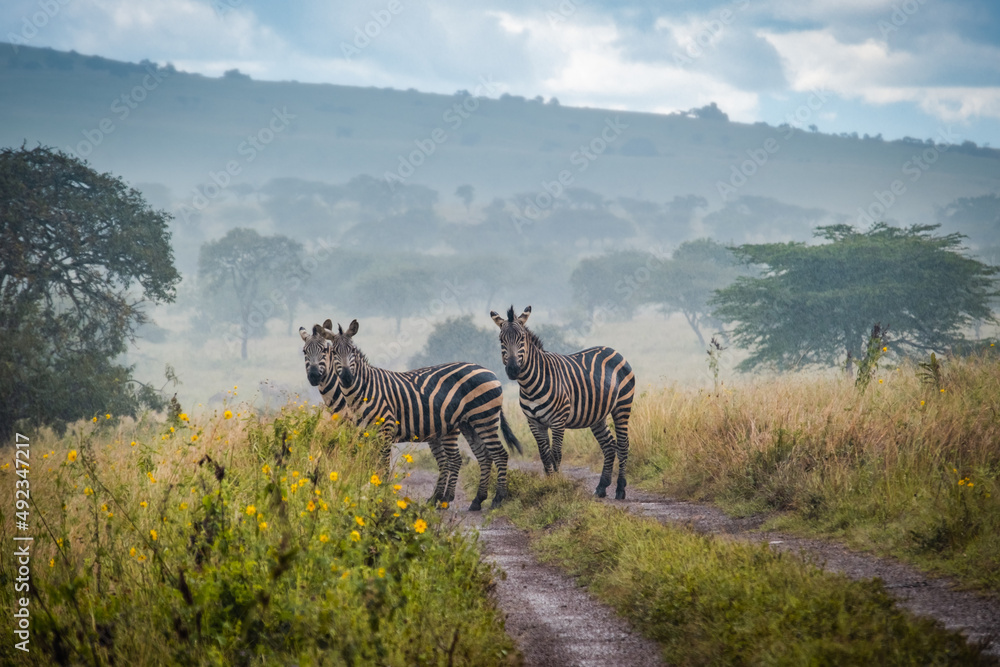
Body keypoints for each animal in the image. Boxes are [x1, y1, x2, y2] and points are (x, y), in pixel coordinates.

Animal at [320, 319, 522, 511]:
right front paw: (371, 494)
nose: (347, 377)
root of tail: (489, 371)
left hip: (484, 418)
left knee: (499, 454)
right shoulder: (366, 434)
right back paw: (477, 500)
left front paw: (381, 495)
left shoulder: (386, 429)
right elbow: (370, 464)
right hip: (469, 424)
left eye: (352, 350)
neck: (364, 389)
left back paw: (497, 499)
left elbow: (382, 465)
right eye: (334, 352)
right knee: (484, 456)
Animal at [490, 305, 635, 499]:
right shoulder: (534, 422)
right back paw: (601, 487)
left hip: (622, 406)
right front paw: (549, 484)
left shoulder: (558, 421)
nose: (513, 370)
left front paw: (557, 487)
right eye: (501, 340)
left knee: (623, 444)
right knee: (609, 445)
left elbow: (556, 454)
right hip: (597, 415)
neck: (530, 384)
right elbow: (544, 455)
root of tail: (613, 350)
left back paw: (620, 489)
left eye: (522, 339)